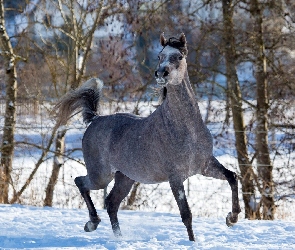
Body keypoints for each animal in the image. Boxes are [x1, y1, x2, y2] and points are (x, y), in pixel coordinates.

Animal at [55, 32, 240, 240]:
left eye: (179, 56)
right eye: (160, 56)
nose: (161, 73)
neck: (187, 130)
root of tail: (95, 119)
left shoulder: (205, 165)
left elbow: (232, 177)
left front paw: (232, 218)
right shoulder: (176, 177)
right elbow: (186, 215)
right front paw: (193, 242)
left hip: (125, 178)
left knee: (111, 202)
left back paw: (118, 237)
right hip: (100, 176)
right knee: (81, 182)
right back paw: (92, 223)